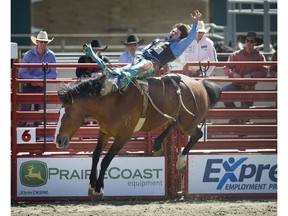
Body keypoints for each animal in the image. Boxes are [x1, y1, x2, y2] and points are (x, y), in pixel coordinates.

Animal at [53, 73, 220, 200]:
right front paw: (91, 185)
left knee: (197, 135)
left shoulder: (123, 136)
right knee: (173, 124)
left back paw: (179, 162)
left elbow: (106, 160)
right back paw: (157, 145)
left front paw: (99, 189)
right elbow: (95, 156)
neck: (110, 102)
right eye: (59, 113)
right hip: (176, 118)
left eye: (67, 115)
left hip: (189, 123)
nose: (59, 140)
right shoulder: (105, 133)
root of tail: (200, 84)